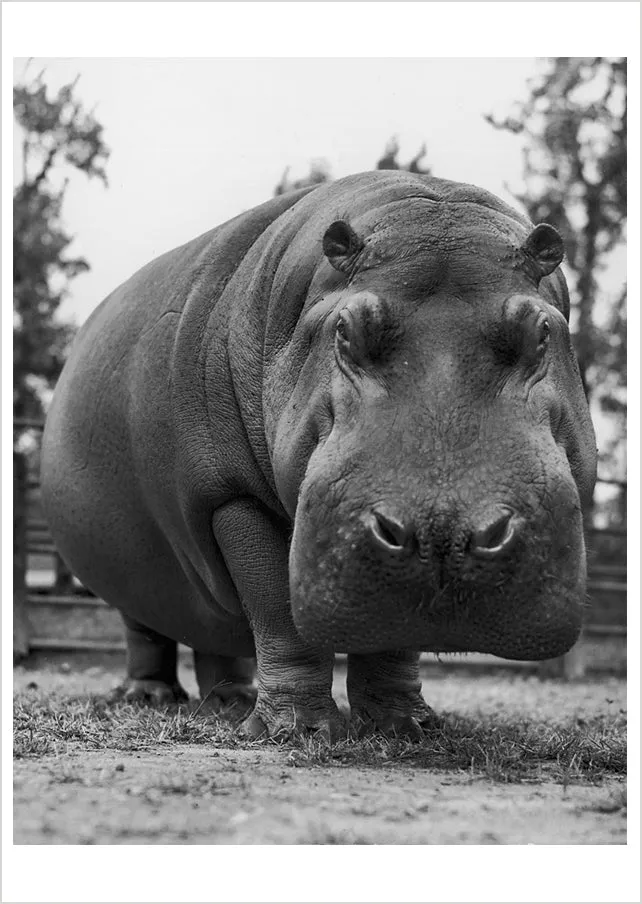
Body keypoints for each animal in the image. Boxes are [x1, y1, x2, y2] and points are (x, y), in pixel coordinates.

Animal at [41, 171, 597, 739]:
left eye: (543, 331)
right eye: (345, 329)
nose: (445, 535)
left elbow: (392, 640)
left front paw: (403, 726)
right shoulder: (232, 498)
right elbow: (277, 608)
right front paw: (298, 730)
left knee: (217, 634)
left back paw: (230, 702)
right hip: (135, 566)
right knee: (148, 628)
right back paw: (151, 697)